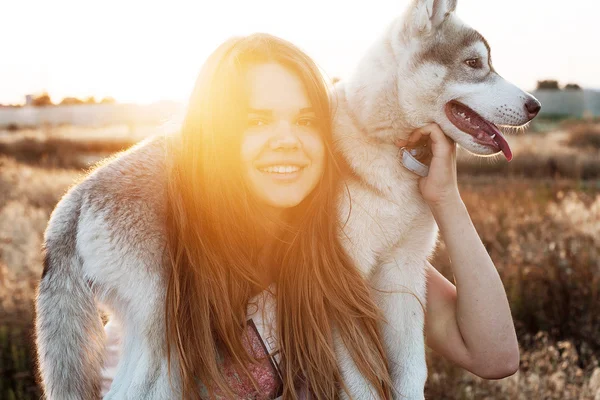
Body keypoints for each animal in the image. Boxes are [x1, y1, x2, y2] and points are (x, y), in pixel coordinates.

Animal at [34, 0, 540, 400]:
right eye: (473, 63)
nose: (534, 105)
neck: (378, 143)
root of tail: (76, 197)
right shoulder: (339, 282)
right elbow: (359, 381)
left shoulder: (404, 272)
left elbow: (411, 373)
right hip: (162, 335)